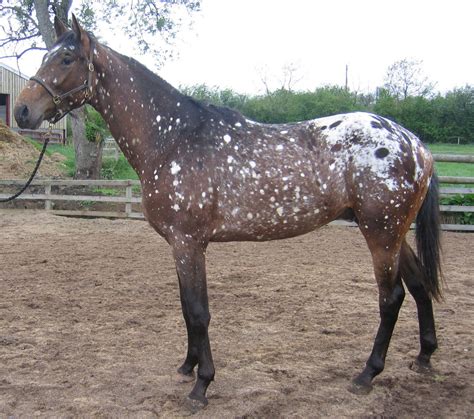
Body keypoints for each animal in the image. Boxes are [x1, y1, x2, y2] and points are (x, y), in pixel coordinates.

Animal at [15, 15, 444, 410]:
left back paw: (367, 374)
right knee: (419, 284)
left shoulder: (188, 243)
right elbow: (186, 308)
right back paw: (424, 356)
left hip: (381, 233)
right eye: (46, 55)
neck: (172, 139)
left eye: (66, 58)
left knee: (391, 297)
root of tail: (415, 144)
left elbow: (198, 312)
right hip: (392, 232)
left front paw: (201, 385)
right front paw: (188, 366)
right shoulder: (182, 245)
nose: (21, 111)